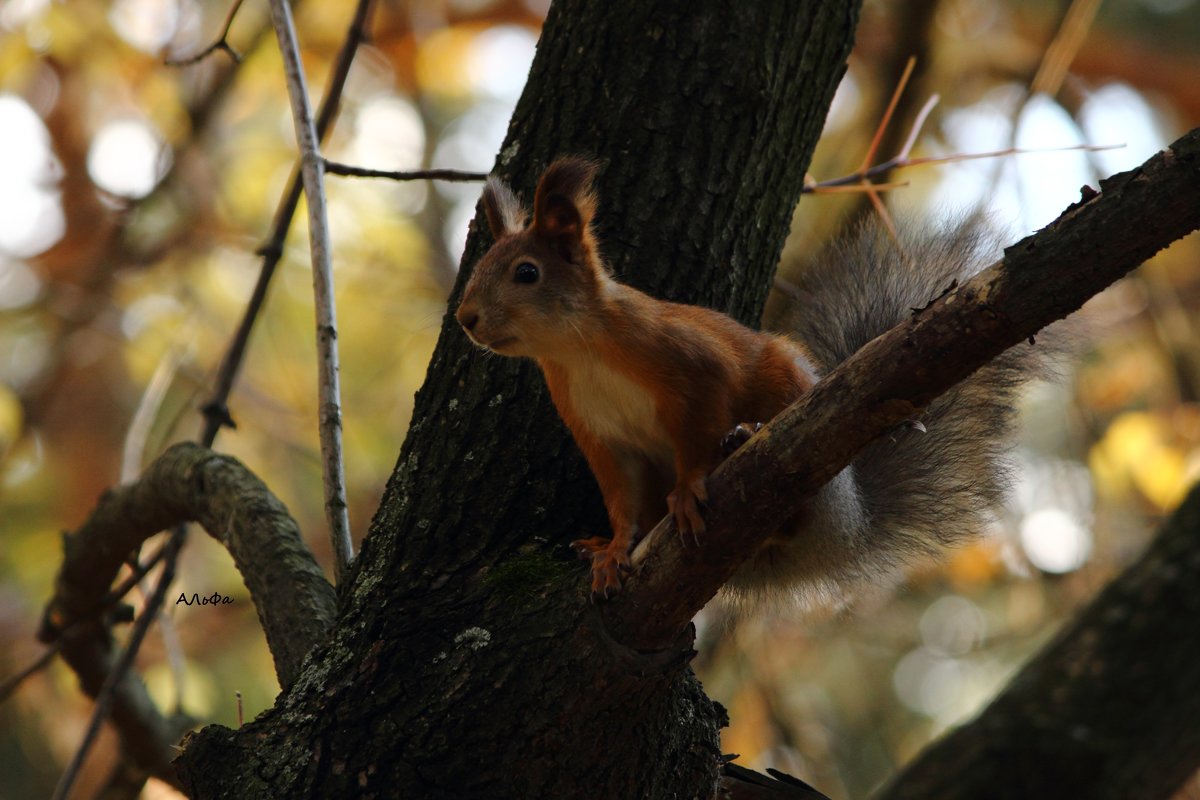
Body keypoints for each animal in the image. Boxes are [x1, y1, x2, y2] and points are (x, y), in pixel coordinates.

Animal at [453, 155, 1046, 604]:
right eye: (480, 265)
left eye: (526, 273)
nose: (465, 318)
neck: (575, 353)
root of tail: (848, 532)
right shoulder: (598, 433)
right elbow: (621, 497)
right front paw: (614, 550)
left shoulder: (687, 361)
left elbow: (697, 430)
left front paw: (689, 488)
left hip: (802, 430)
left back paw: (744, 439)